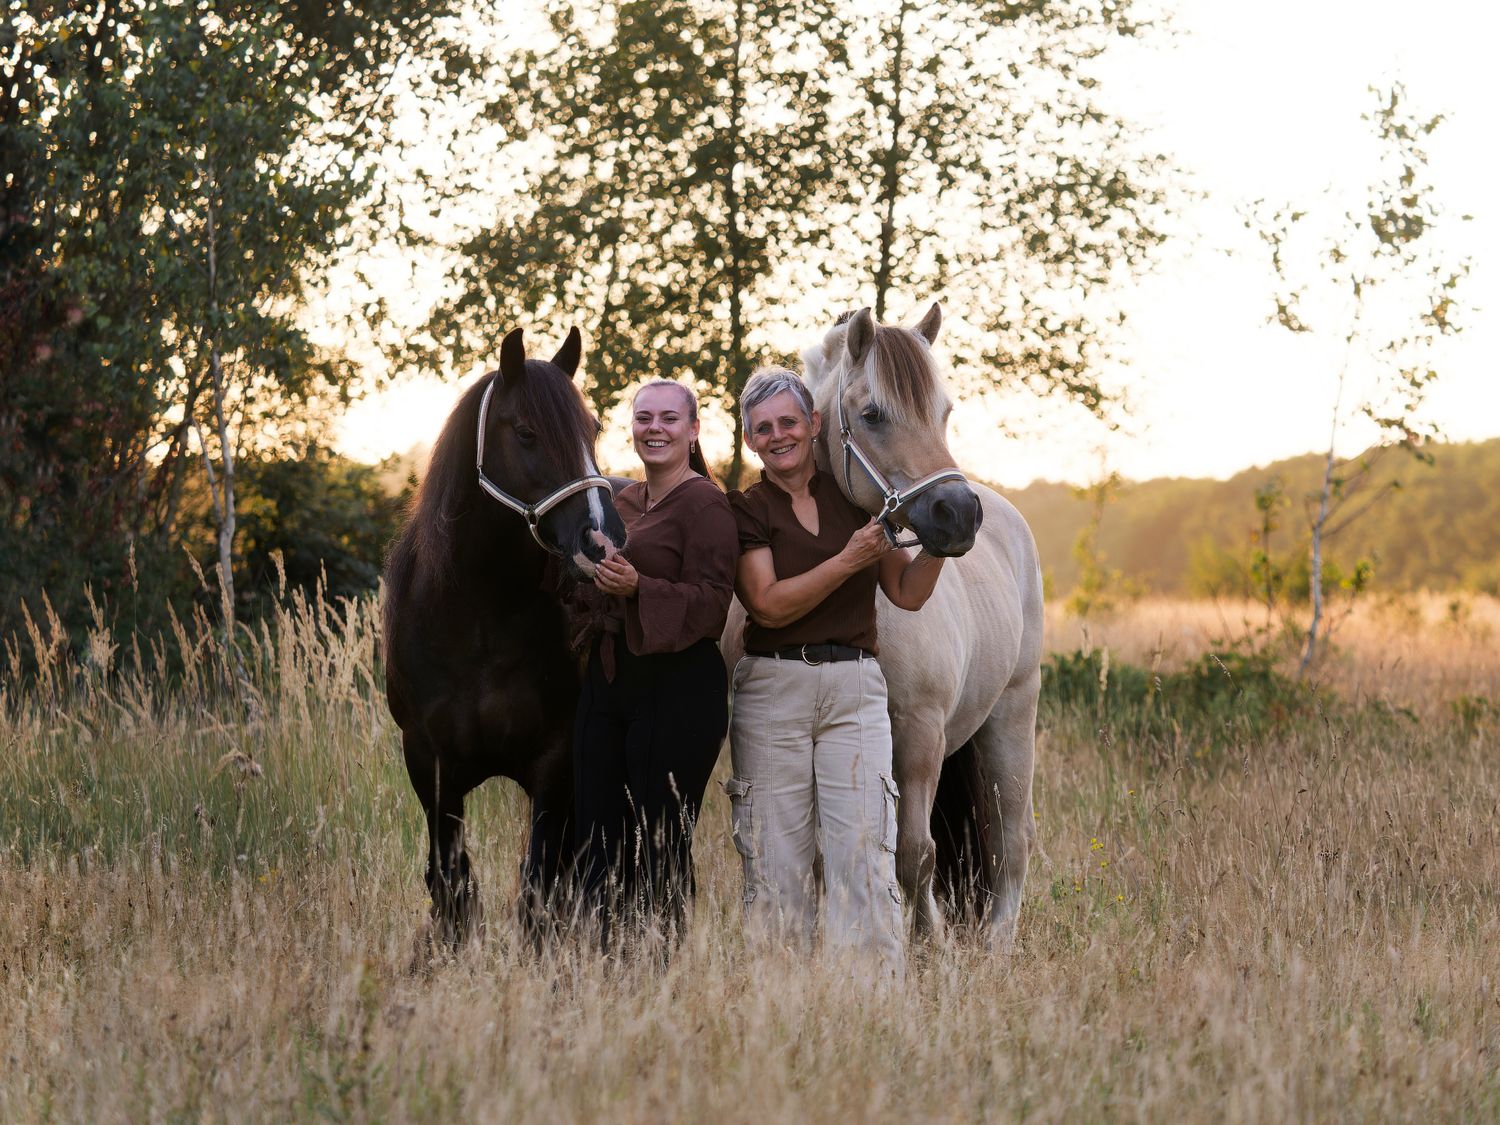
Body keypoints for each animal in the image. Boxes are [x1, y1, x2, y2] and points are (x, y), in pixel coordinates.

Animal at [383, 326, 627, 948]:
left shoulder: (554, 764)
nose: (603, 541)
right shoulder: (428, 763)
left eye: (593, 429)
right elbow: (450, 884)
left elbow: (538, 890)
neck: (478, 625)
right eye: (526, 433)